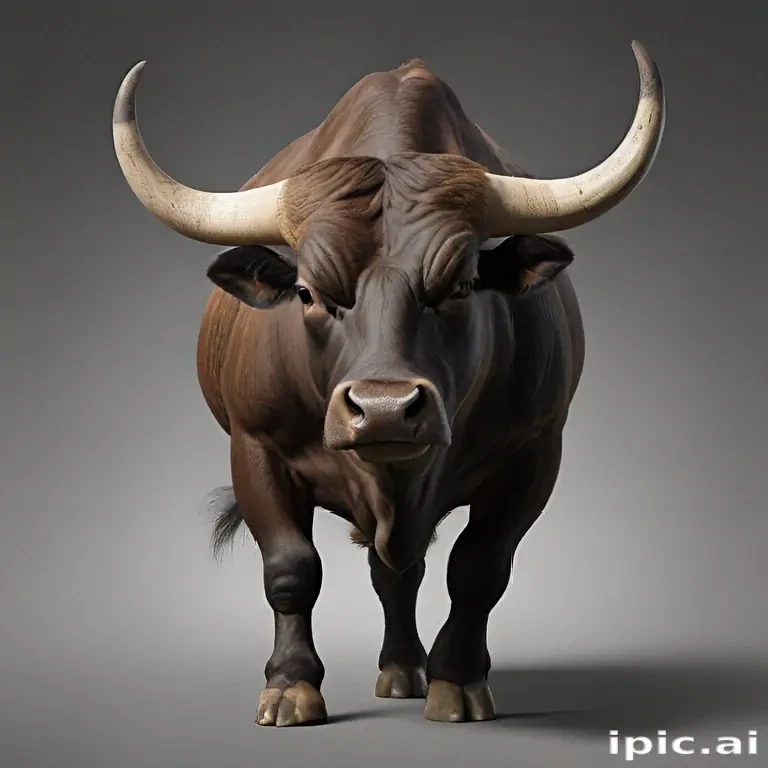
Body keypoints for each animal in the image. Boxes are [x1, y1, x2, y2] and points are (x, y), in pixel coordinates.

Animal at [112, 41, 665, 727]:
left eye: (462, 285)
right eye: (308, 293)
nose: (382, 409)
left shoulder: (535, 452)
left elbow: (479, 567)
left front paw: (458, 680)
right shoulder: (254, 446)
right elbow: (292, 568)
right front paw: (290, 686)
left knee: (401, 570)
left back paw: (405, 669)